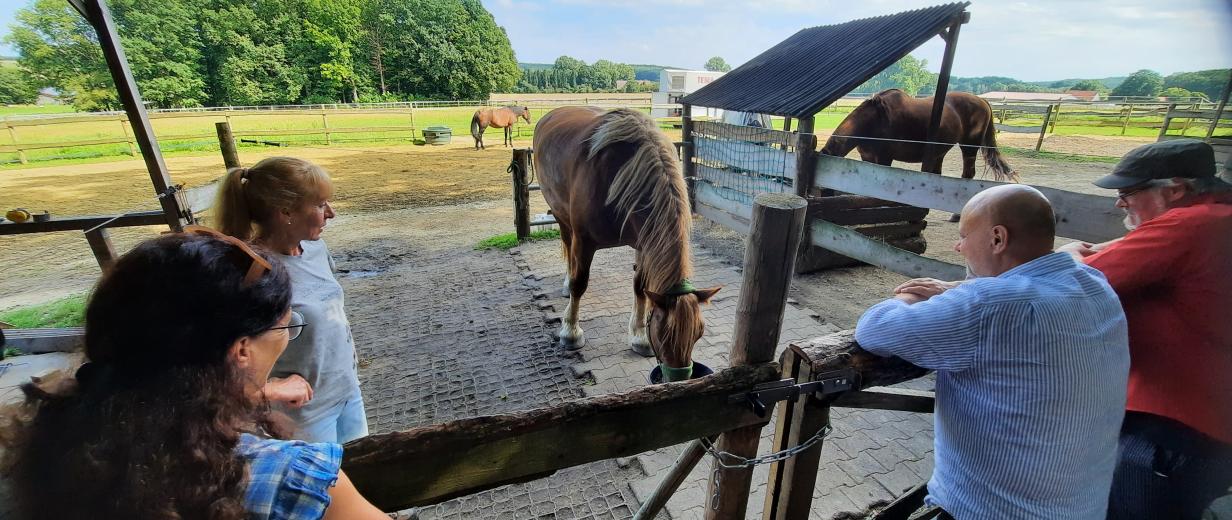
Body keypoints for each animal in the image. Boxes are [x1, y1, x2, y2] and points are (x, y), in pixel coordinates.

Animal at [532, 104, 719, 369]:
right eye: (663, 333)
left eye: (699, 332)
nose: (679, 376)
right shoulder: (584, 241)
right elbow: (580, 283)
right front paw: (570, 332)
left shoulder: (643, 242)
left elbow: (640, 286)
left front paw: (639, 337)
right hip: (562, 218)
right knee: (568, 251)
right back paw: (567, 285)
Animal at [822, 91, 1015, 182]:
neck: (876, 120)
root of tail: (983, 101)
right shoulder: (867, 157)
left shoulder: (884, 158)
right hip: (939, 152)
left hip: (969, 146)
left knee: (968, 173)